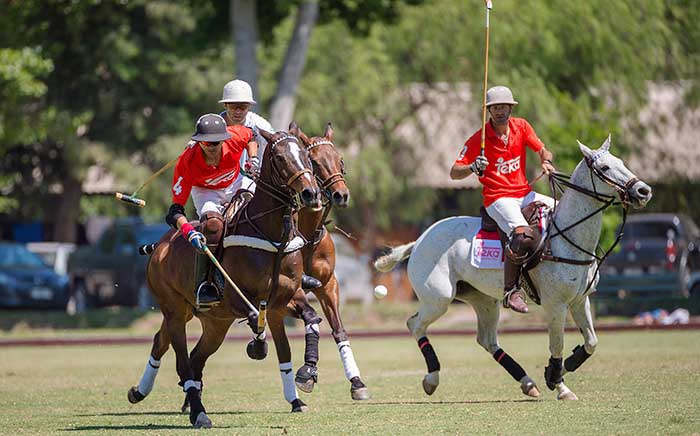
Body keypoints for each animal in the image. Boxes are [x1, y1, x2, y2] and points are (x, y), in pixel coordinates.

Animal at [127, 127, 324, 428]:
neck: (272, 235)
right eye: (279, 157)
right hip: (175, 310)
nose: (311, 193)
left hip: (214, 322)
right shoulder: (236, 297)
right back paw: (197, 412)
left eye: (305, 154)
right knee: (181, 359)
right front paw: (258, 346)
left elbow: (310, 320)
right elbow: (255, 319)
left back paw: (148, 393)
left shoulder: (284, 299)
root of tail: (159, 245)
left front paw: (307, 374)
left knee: (185, 354)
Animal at [374, 136, 652, 398]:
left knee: (486, 339)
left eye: (622, 162)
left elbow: (591, 341)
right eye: (604, 167)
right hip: (438, 298)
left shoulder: (579, 300)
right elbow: (557, 345)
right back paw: (432, 379)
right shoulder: (556, 304)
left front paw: (559, 371)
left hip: (484, 300)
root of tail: (419, 240)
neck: (566, 237)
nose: (643, 191)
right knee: (415, 325)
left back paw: (528, 383)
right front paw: (559, 384)